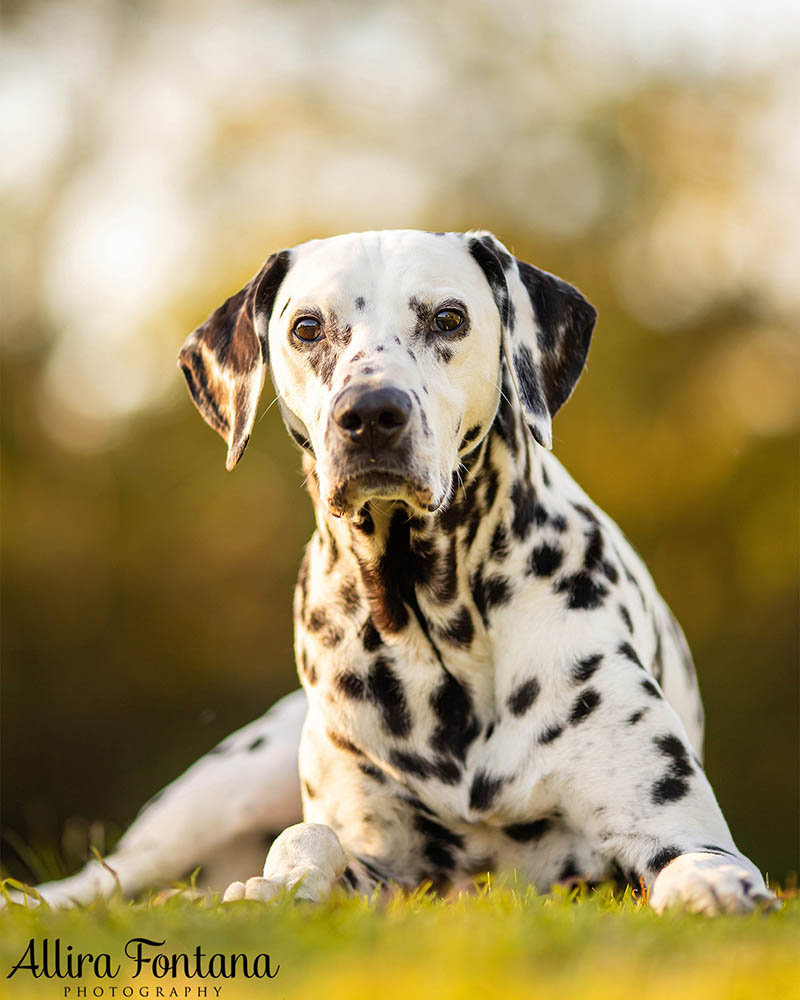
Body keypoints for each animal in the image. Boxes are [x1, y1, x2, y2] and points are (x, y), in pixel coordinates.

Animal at [23, 229, 776, 916]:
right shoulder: (380, 862)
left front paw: (716, 886)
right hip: (222, 791)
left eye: (447, 318)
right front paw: (276, 884)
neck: (432, 624)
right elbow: (310, 840)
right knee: (111, 876)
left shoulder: (668, 828)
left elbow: (697, 859)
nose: (370, 413)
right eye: (306, 327)